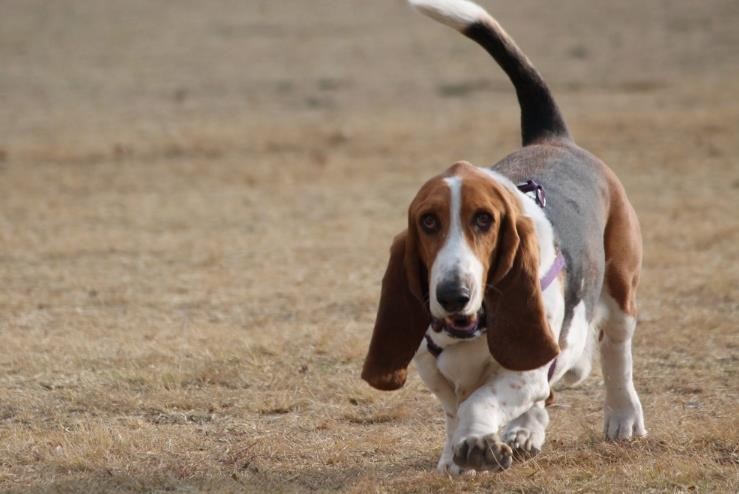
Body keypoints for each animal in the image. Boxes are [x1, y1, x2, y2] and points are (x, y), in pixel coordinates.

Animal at [362, 0, 644, 474]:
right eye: (428, 222)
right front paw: (456, 455)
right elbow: (455, 407)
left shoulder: (525, 369)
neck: (471, 328)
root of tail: (553, 137)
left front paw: (476, 442)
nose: (452, 294)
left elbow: (481, 400)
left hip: (620, 286)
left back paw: (622, 417)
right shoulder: (434, 370)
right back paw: (527, 430)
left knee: (614, 352)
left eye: (484, 220)